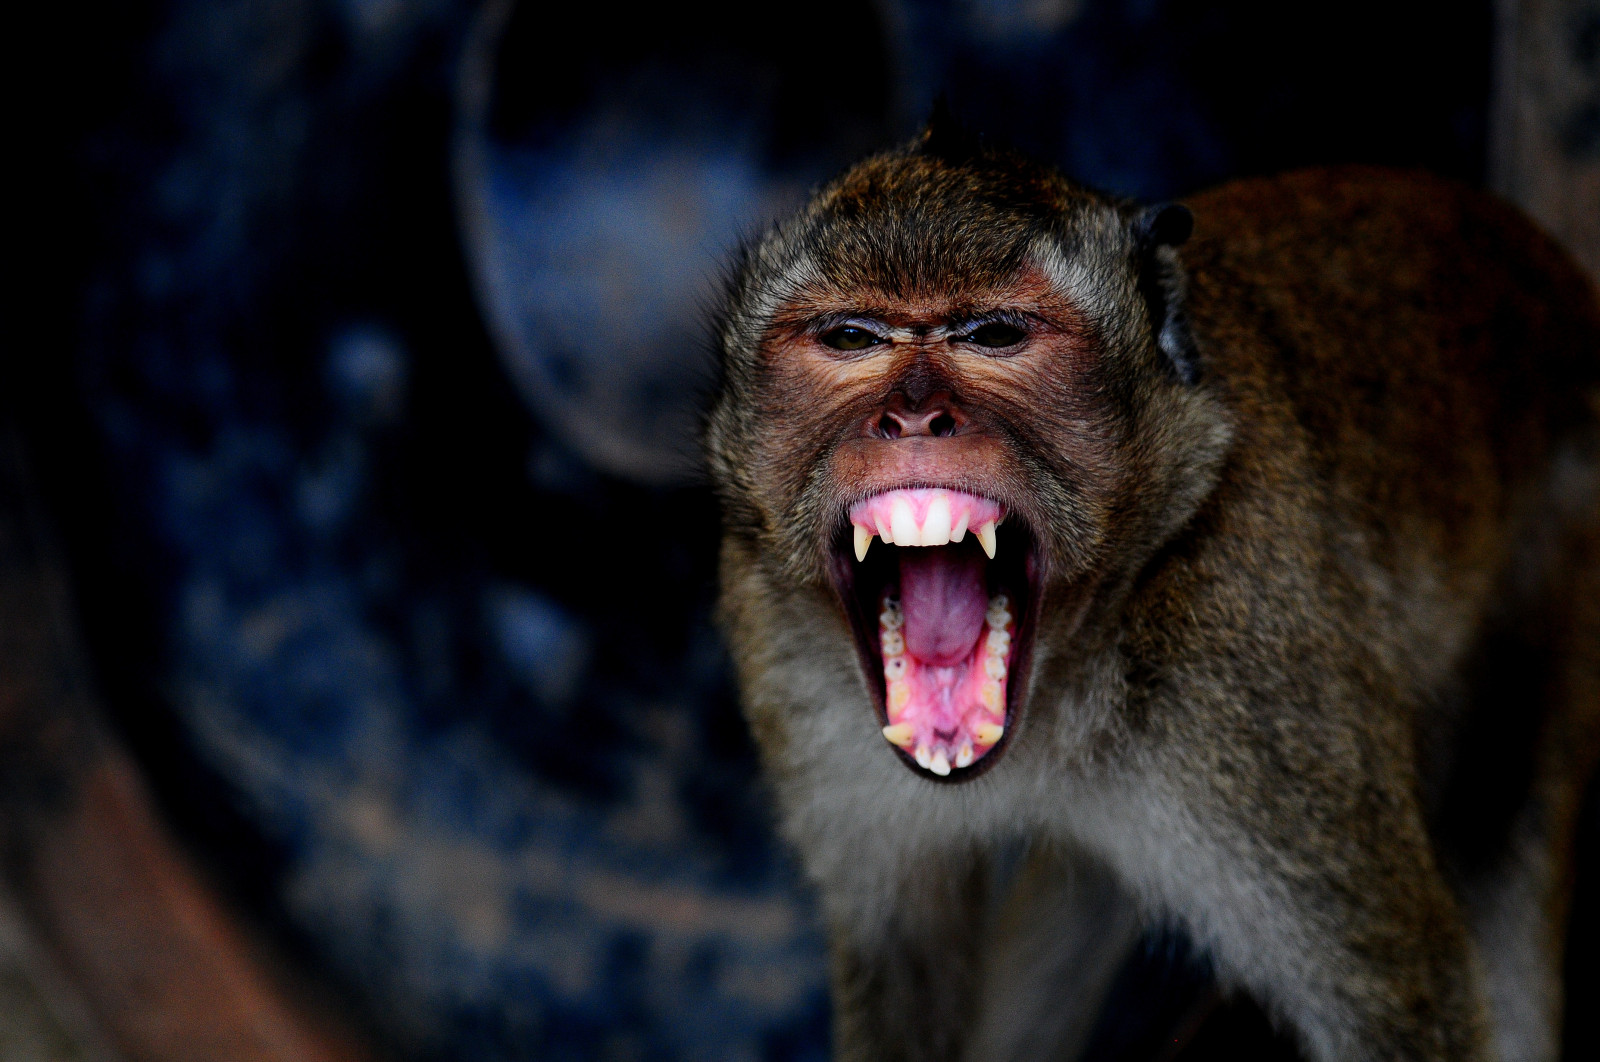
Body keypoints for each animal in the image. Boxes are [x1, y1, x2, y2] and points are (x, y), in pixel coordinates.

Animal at [705, 121, 1600, 1062]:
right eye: (852, 338)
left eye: (994, 334)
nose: (913, 417)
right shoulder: (783, 664)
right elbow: (903, 968)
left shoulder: (1249, 673)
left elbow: (1407, 1004)